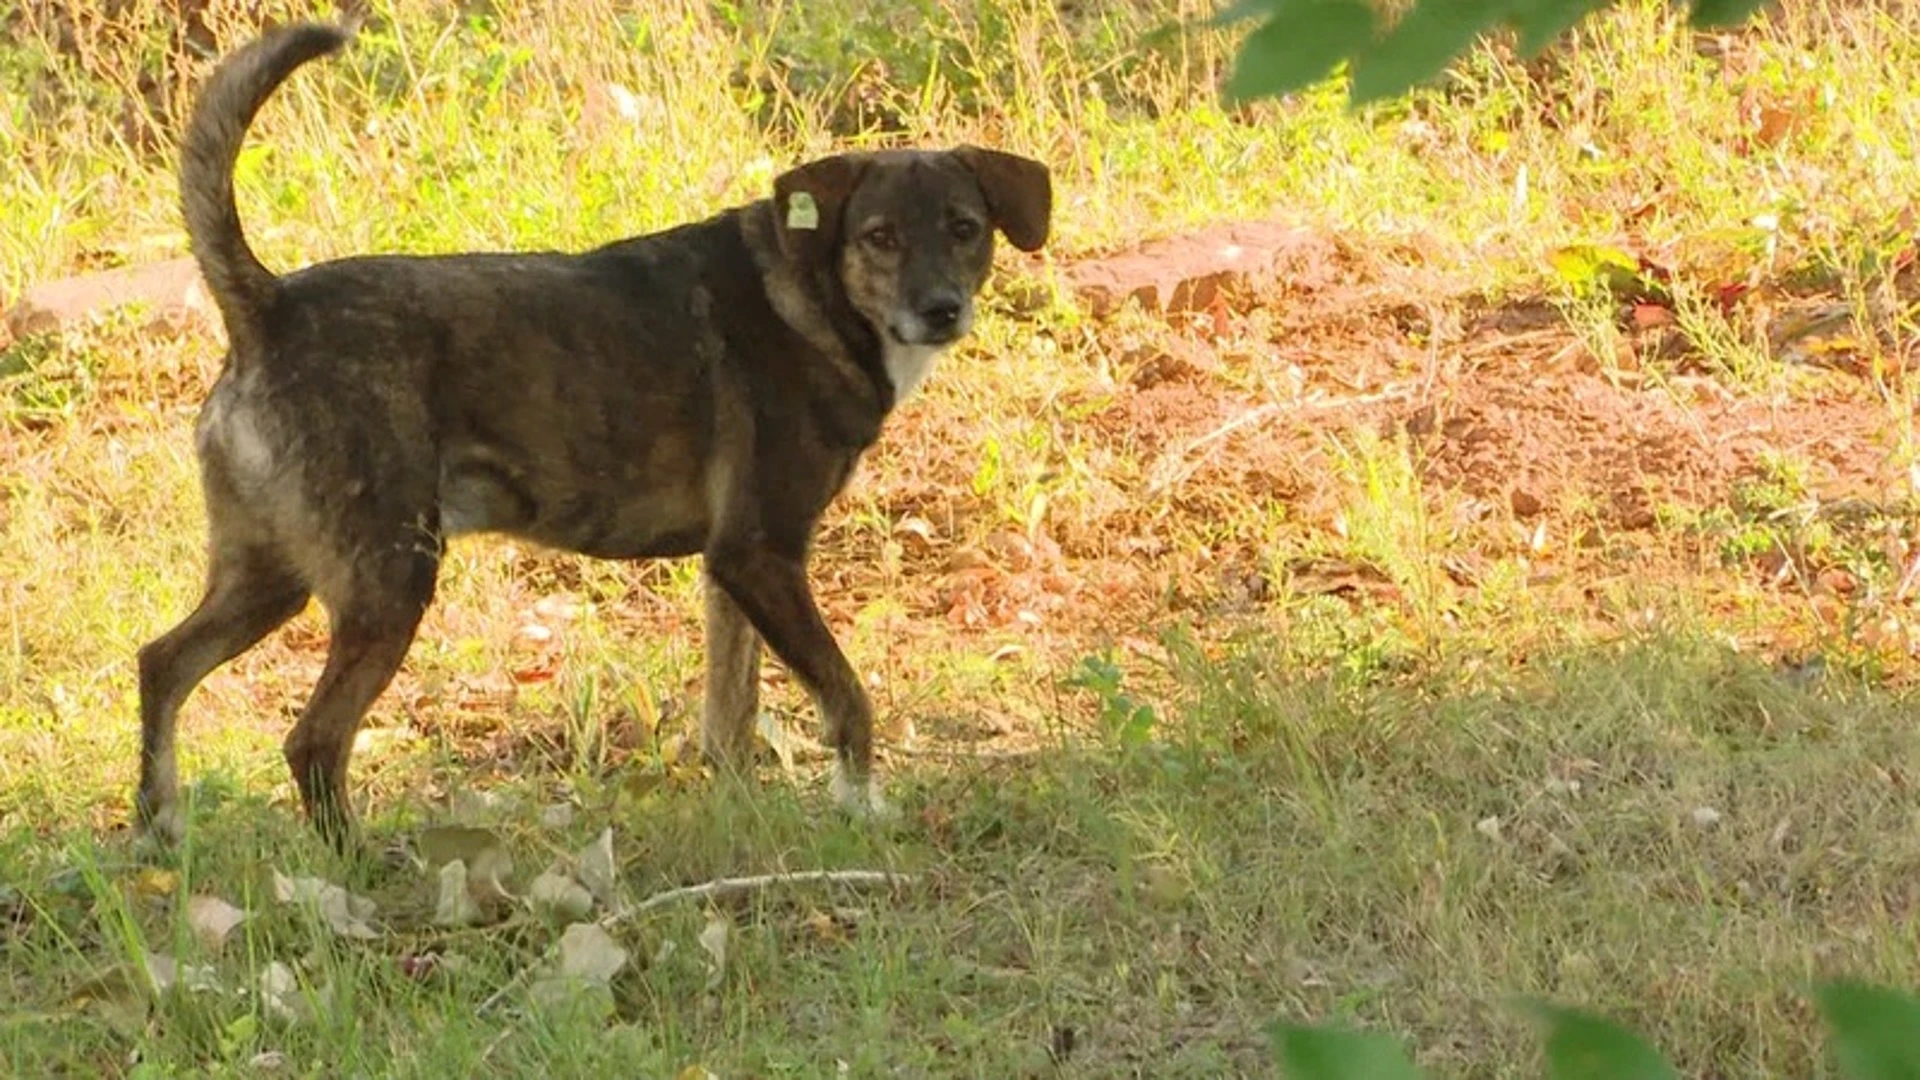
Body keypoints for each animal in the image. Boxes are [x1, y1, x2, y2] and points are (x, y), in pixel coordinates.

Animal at [135, 16, 1052, 841]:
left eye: (965, 229)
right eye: (880, 237)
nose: (941, 310)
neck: (813, 294)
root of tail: (268, 305)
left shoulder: (731, 574)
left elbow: (731, 721)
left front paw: (740, 820)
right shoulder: (762, 554)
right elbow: (849, 696)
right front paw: (862, 809)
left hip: (271, 577)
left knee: (163, 663)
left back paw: (157, 831)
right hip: (388, 581)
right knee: (313, 740)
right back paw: (358, 865)